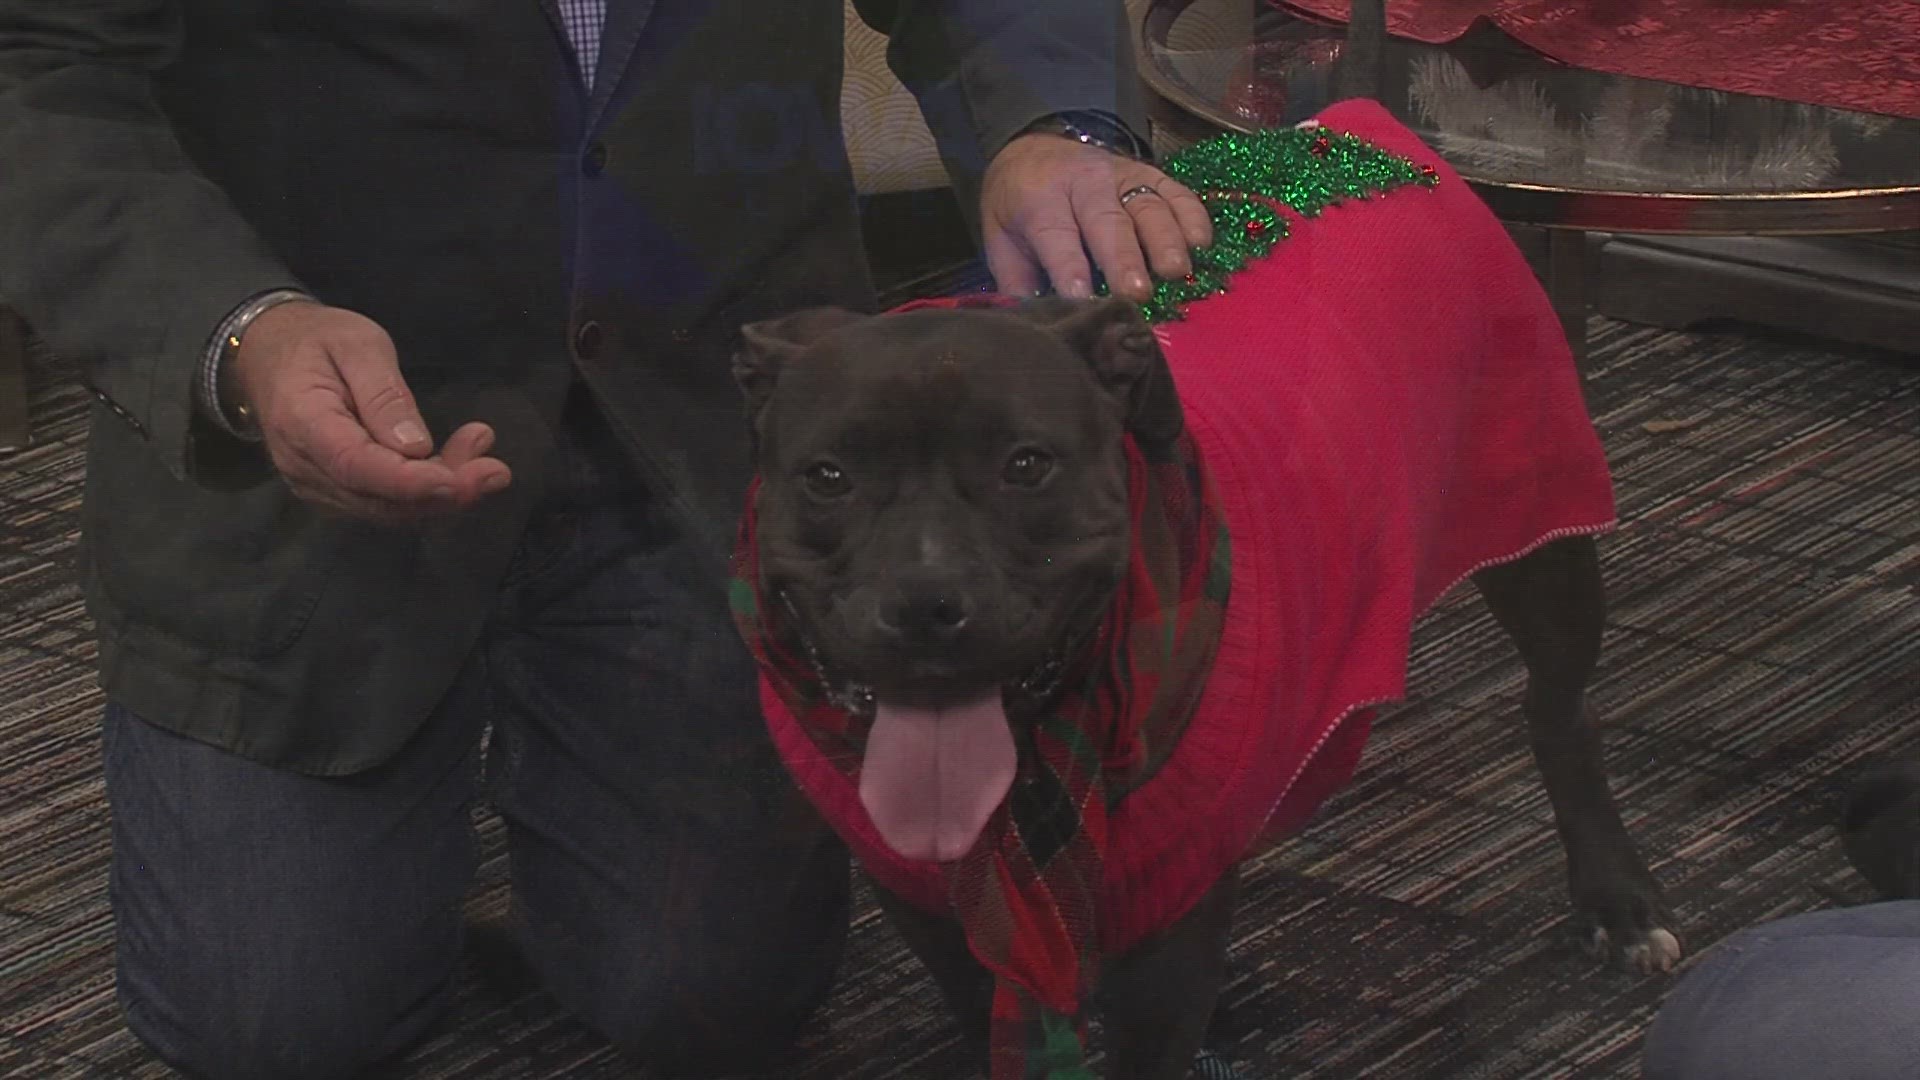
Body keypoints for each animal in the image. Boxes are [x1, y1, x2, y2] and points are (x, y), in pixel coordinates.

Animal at [725, 295, 1674, 1076]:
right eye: (827, 476)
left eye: (1027, 465)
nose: (924, 602)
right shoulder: (932, 915)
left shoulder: (1169, 946)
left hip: (1540, 523)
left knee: (1560, 708)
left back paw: (1616, 898)